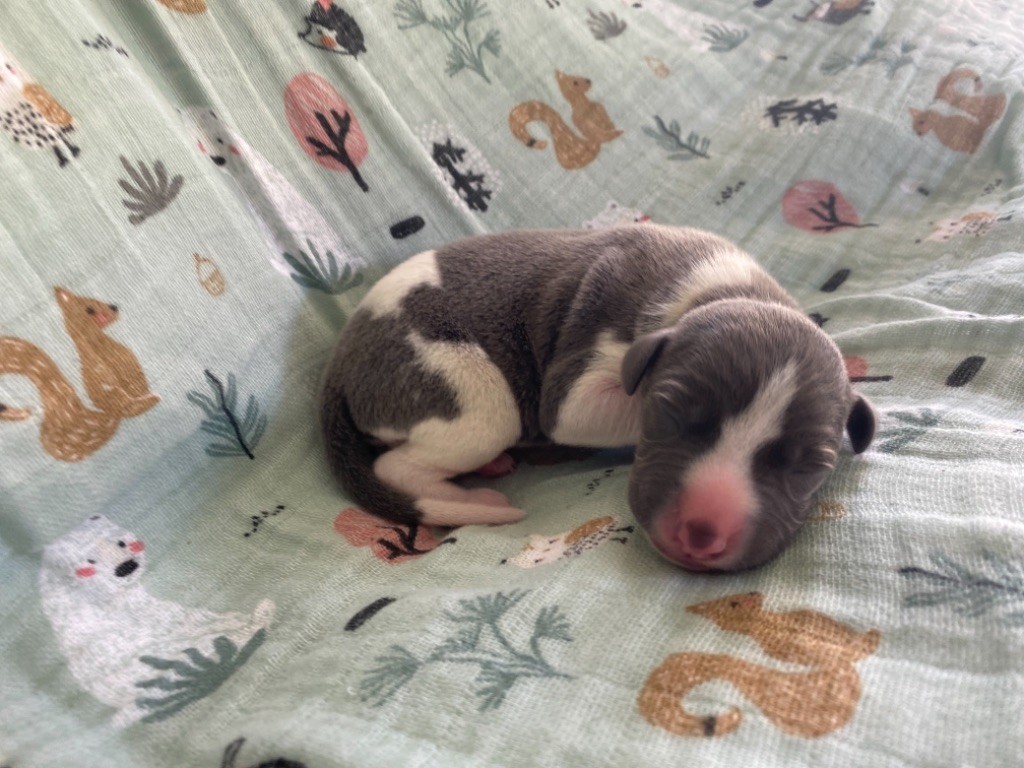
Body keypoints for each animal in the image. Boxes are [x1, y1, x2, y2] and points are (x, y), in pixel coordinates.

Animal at [319, 225, 875, 571]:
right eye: (668, 413)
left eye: (810, 467)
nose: (703, 531)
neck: (728, 290)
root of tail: (339, 362)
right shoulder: (578, 385)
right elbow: (590, 405)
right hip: (470, 394)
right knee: (397, 465)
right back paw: (470, 498)